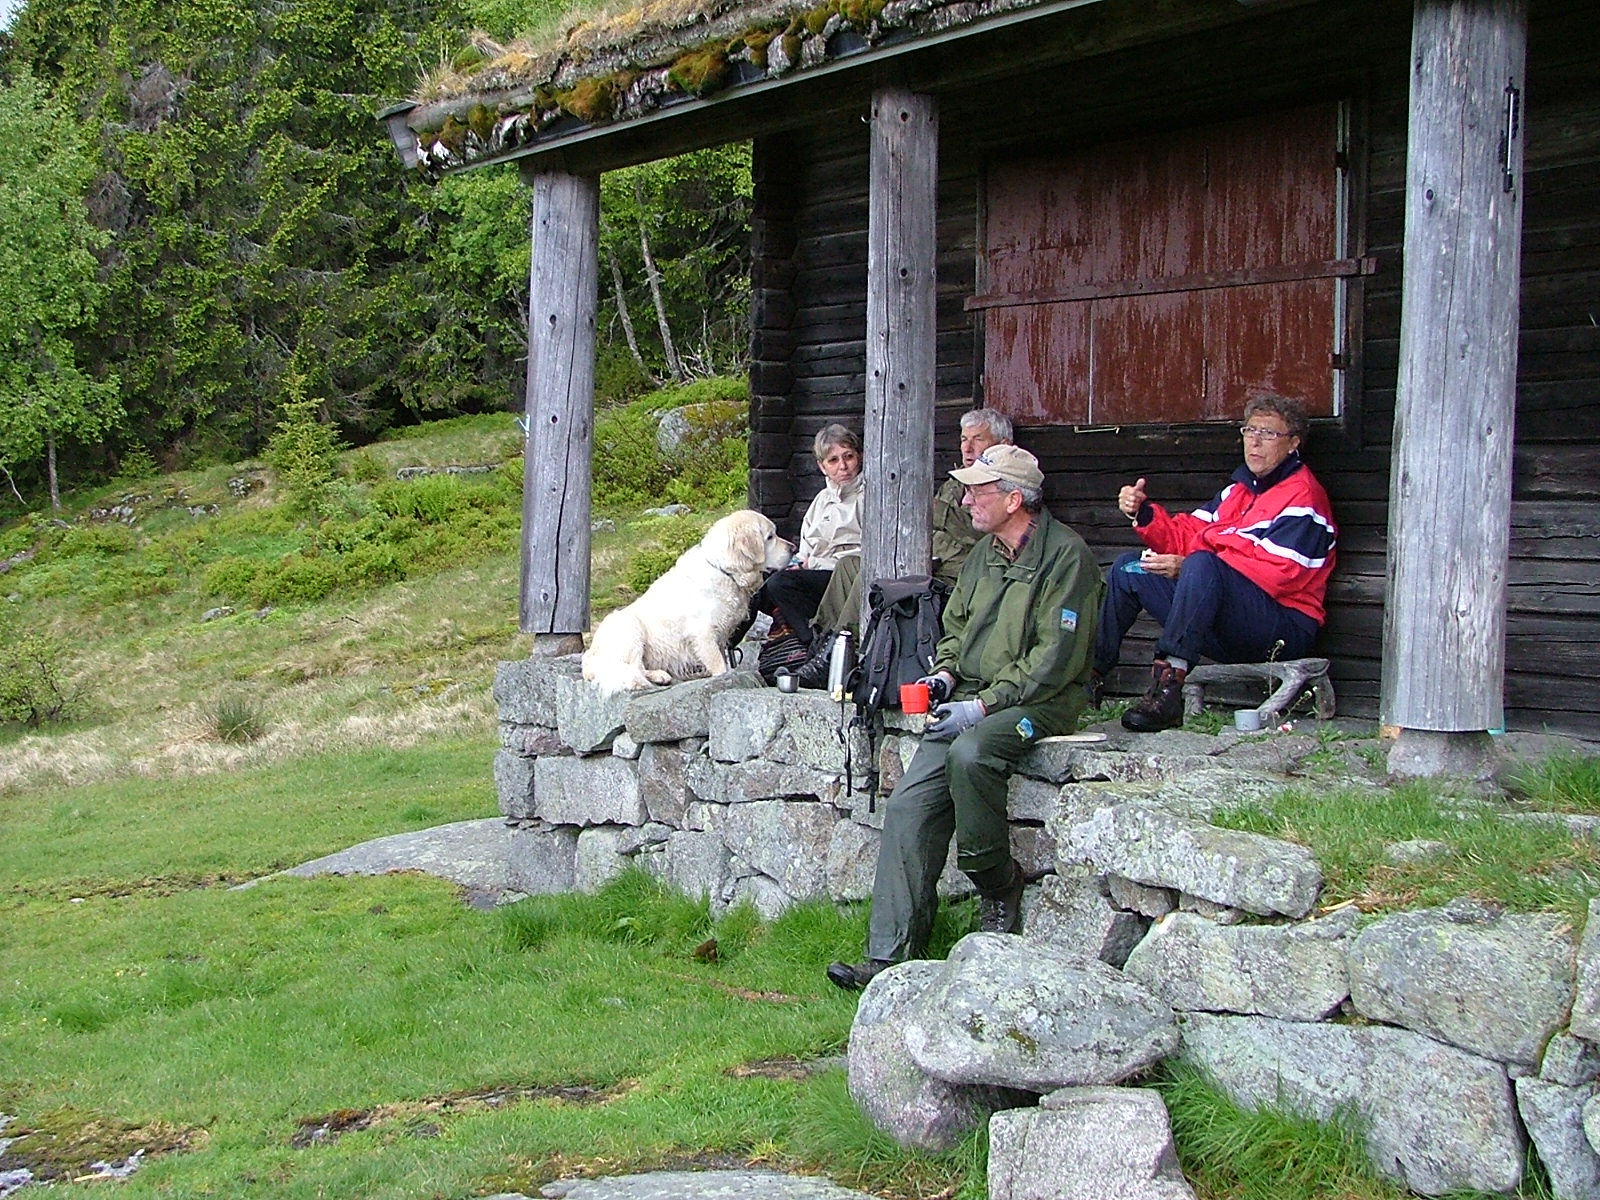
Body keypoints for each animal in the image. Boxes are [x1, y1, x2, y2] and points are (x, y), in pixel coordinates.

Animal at [582, 509, 794, 694]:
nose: (793, 548)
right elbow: (719, 663)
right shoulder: (703, 632)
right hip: (629, 626)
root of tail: (589, 658)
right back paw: (653, 678)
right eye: (770, 537)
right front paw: (724, 676)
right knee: (634, 669)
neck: (724, 570)